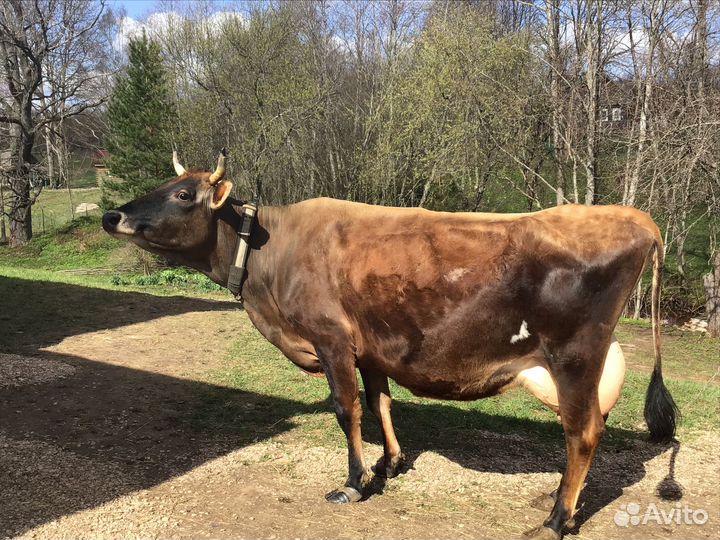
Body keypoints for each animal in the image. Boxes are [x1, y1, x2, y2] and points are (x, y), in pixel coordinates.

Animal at [102, 152, 678, 540]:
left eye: (184, 195)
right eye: (165, 183)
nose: (112, 216)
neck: (271, 259)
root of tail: (635, 216)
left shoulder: (331, 339)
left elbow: (348, 408)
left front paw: (354, 481)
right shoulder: (372, 346)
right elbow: (381, 403)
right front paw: (389, 464)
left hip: (575, 355)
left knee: (583, 432)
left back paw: (555, 520)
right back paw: (561, 504)